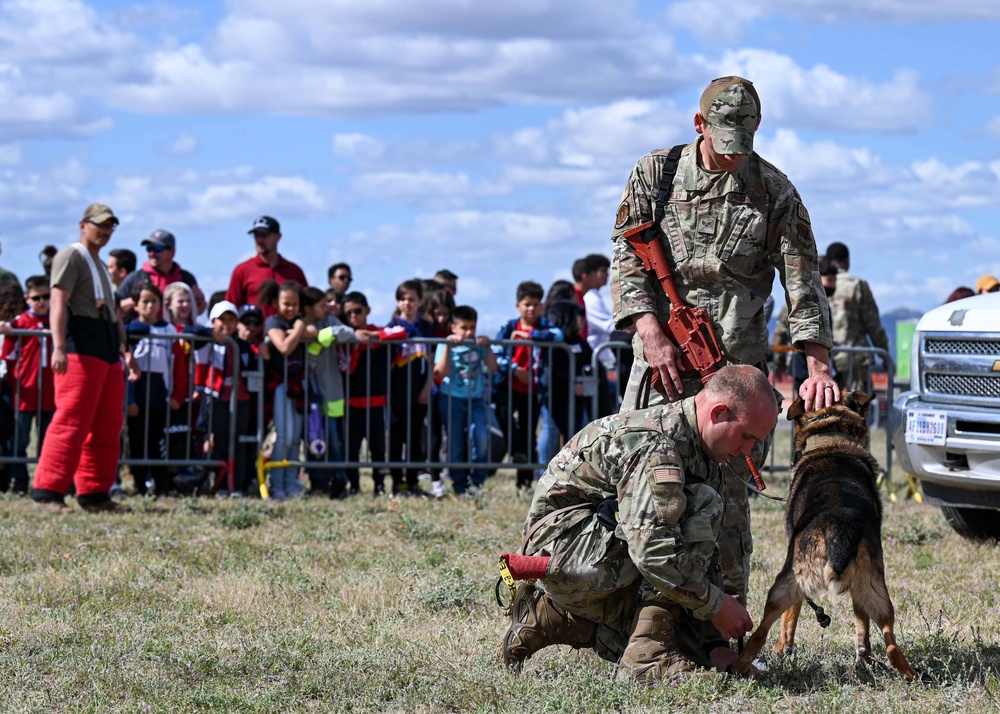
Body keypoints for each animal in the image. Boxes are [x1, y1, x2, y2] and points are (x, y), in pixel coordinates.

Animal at [732, 392, 916, 680]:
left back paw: (740, 665)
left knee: (760, 631)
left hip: (784, 585)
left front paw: (783, 648)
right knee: (892, 644)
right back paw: (908, 673)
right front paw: (864, 652)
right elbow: (861, 620)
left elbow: (791, 615)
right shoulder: (859, 591)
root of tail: (839, 528)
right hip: (876, 589)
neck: (831, 441)